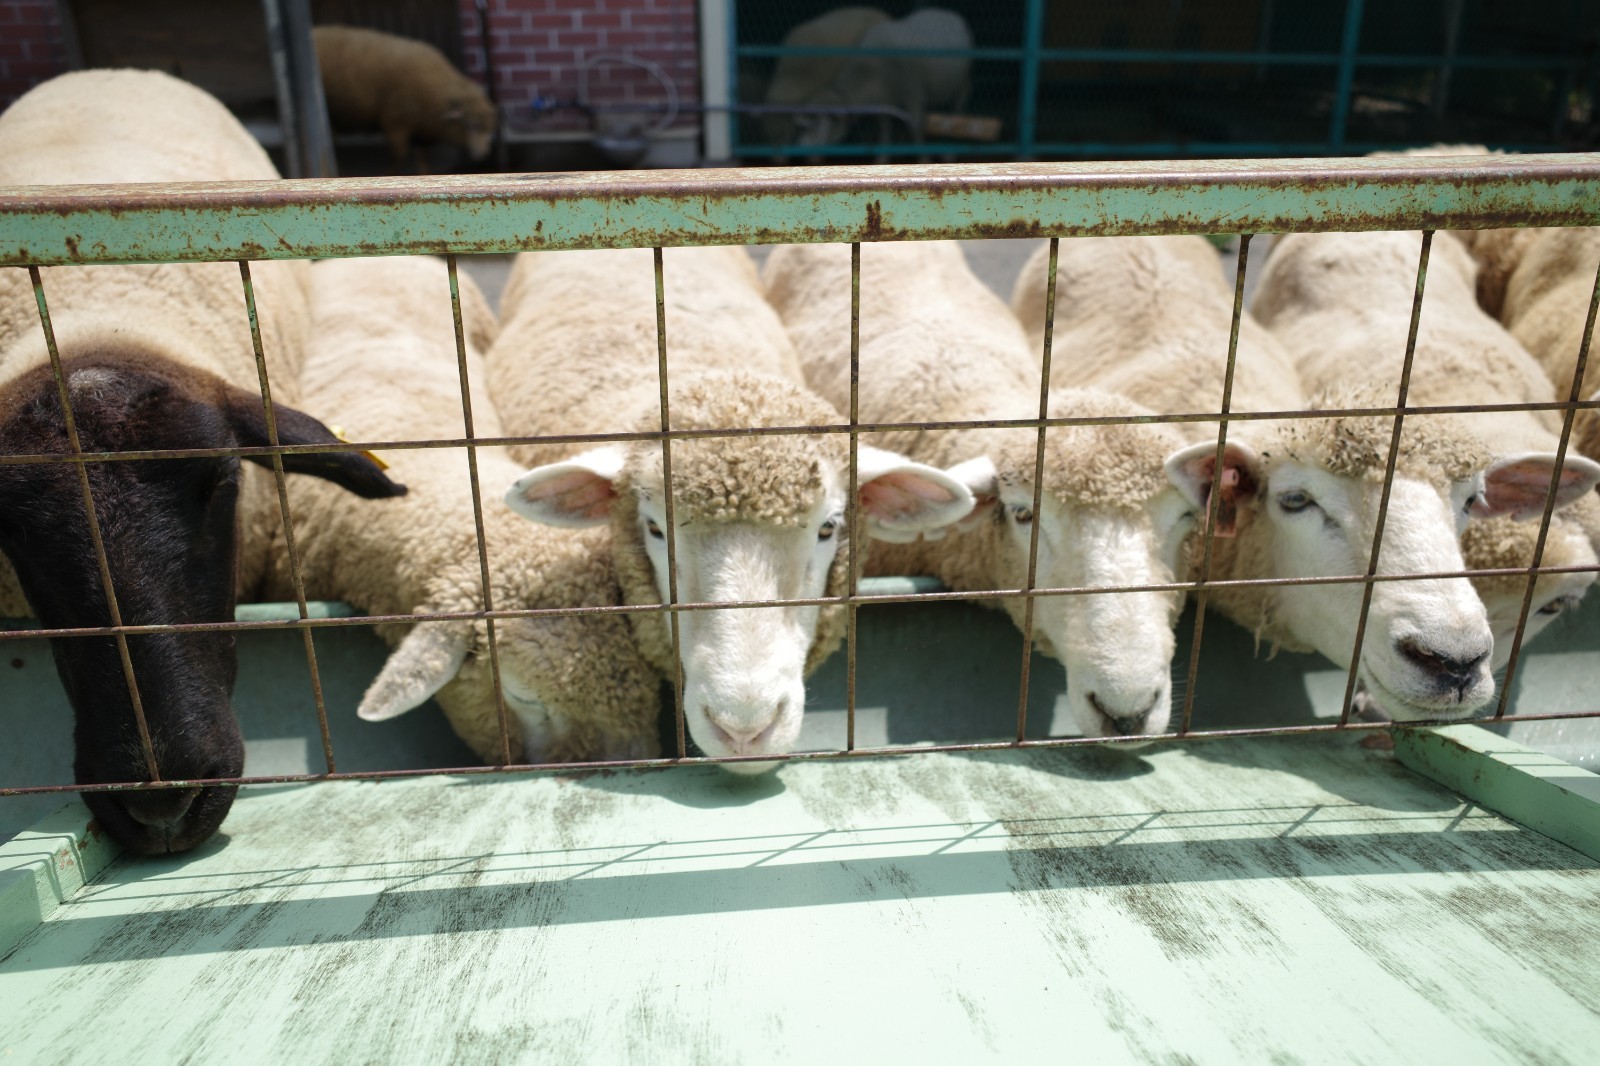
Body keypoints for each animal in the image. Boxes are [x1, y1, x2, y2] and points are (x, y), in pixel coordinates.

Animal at [314, 25, 497, 167]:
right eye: (471, 126)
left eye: (489, 128)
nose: (484, 154)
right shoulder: (397, 122)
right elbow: (399, 156)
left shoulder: (420, 128)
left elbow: (422, 158)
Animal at [794, 8, 972, 150]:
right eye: (802, 126)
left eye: (813, 124)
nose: (801, 145)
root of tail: (949, 14)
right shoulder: (884, 105)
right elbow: (884, 136)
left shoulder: (913, 95)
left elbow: (915, 129)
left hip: (962, 88)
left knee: (957, 118)